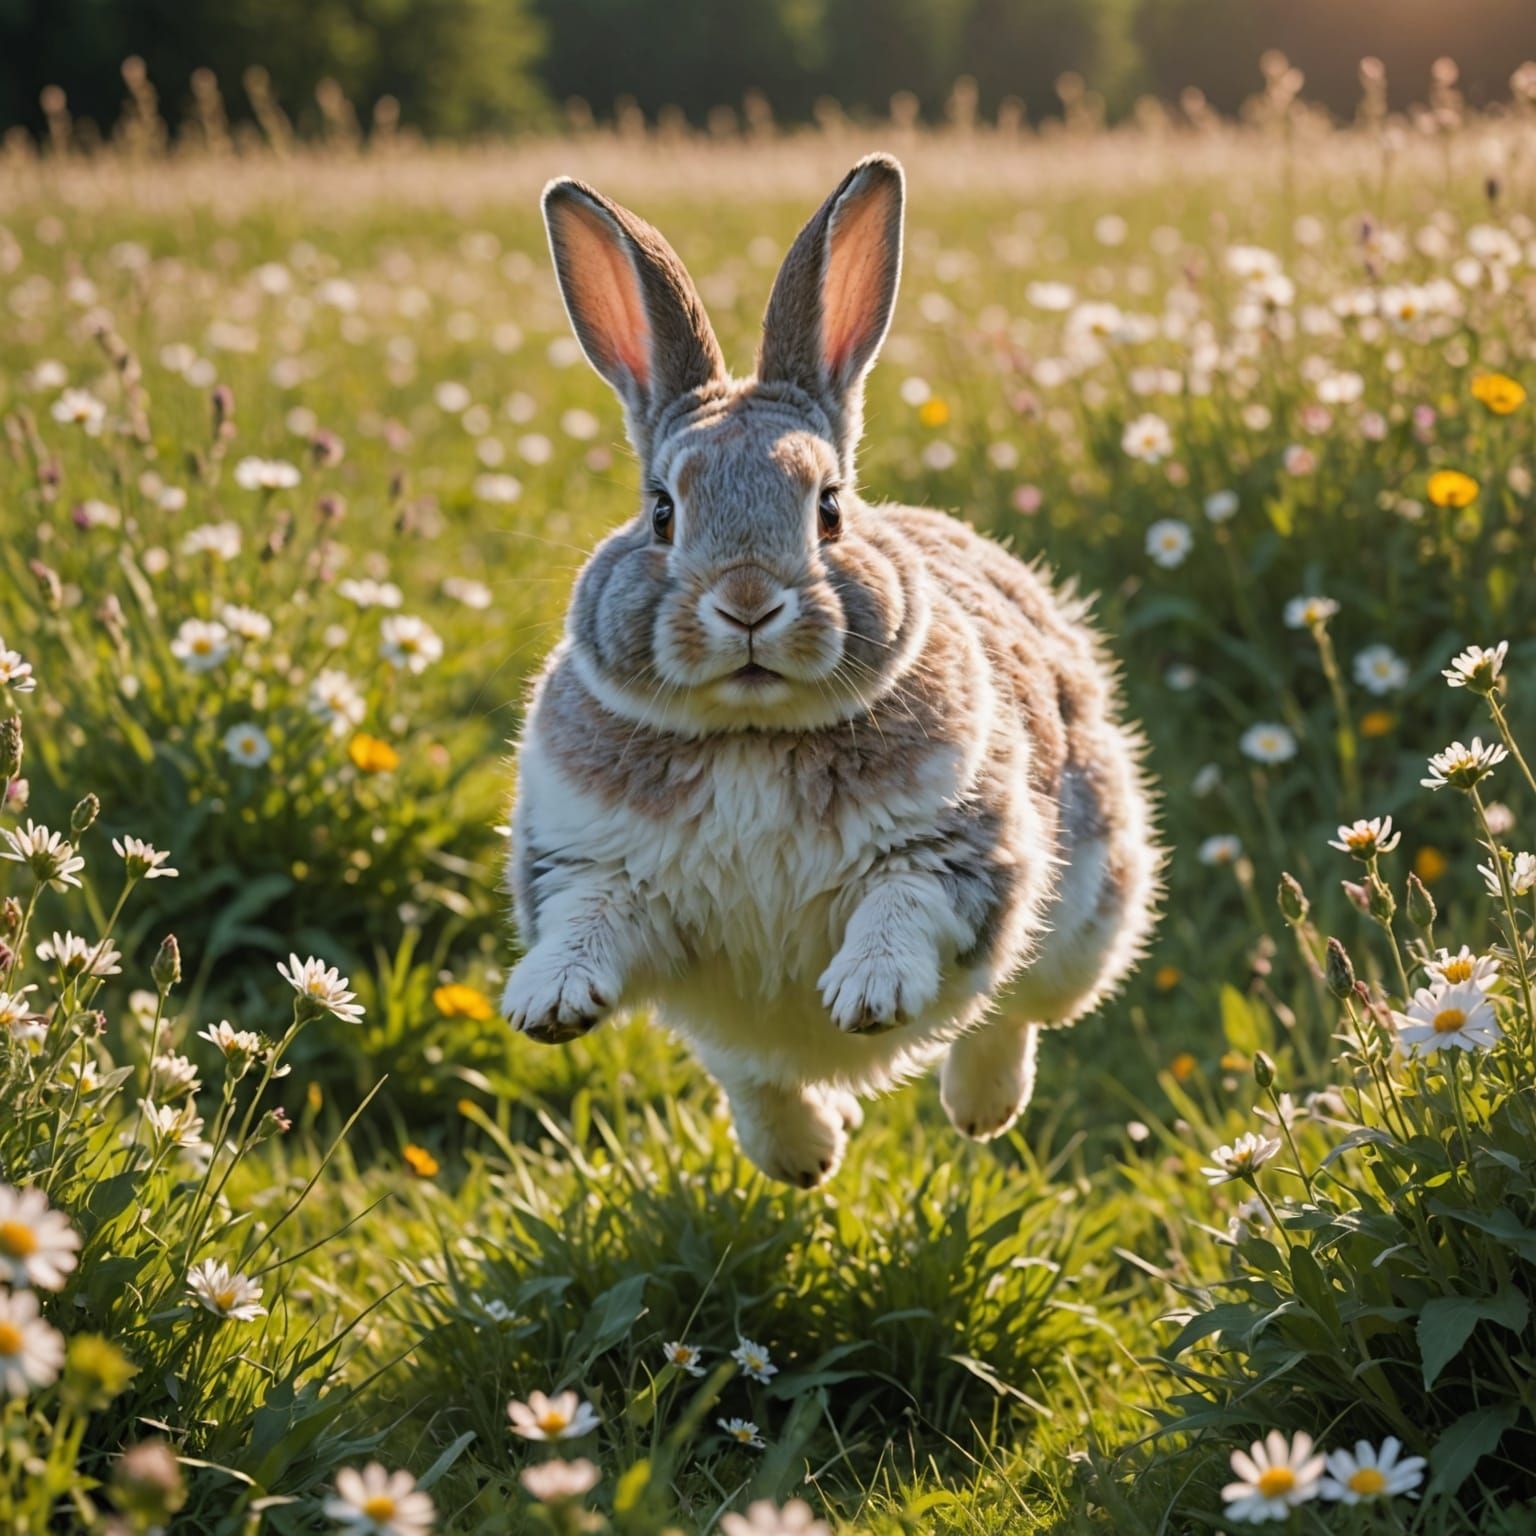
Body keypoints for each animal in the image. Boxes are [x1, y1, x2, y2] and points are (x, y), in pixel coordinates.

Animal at [501, 153, 1161, 1187]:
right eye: (661, 513)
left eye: (830, 509)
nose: (747, 605)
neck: (751, 736)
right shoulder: (591, 866)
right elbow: (587, 924)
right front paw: (549, 1003)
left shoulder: (952, 851)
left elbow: (903, 909)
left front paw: (868, 994)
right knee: (755, 1075)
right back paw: (806, 1158)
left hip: (1085, 917)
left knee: (1009, 1010)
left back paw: (980, 1111)